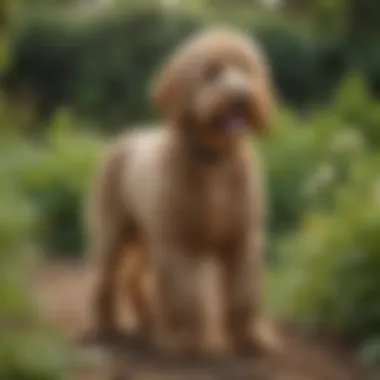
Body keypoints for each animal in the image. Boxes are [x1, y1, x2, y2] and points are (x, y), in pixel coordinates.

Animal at [86, 27, 276, 356]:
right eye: (212, 72)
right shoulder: (177, 244)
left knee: (133, 279)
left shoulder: (242, 240)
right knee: (105, 279)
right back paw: (106, 327)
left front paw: (251, 338)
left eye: (248, 70)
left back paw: (150, 322)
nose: (242, 97)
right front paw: (183, 340)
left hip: (146, 237)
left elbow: (244, 295)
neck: (214, 160)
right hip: (114, 231)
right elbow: (184, 298)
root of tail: (125, 136)